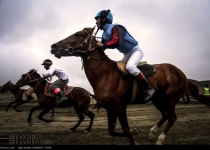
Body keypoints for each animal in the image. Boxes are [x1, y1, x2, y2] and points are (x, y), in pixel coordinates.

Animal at [49, 26, 210, 145]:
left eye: (76, 34)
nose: (53, 46)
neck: (105, 74)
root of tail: (182, 74)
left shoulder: (120, 107)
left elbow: (125, 129)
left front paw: (134, 133)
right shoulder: (110, 108)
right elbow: (112, 131)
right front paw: (136, 131)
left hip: (170, 98)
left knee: (172, 117)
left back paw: (160, 139)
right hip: (157, 99)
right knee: (165, 115)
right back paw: (152, 133)